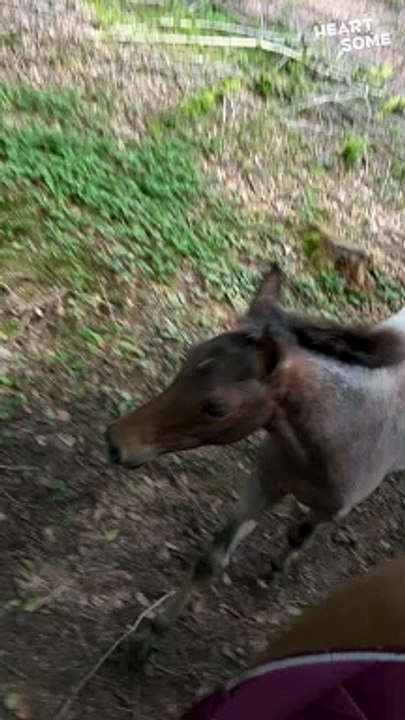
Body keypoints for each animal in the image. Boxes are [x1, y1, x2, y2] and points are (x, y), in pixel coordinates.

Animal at [106, 264, 405, 659]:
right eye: (190, 357)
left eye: (216, 408)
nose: (117, 442)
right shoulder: (264, 481)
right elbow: (211, 560)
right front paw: (149, 639)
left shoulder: (334, 509)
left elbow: (298, 533)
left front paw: (275, 571)